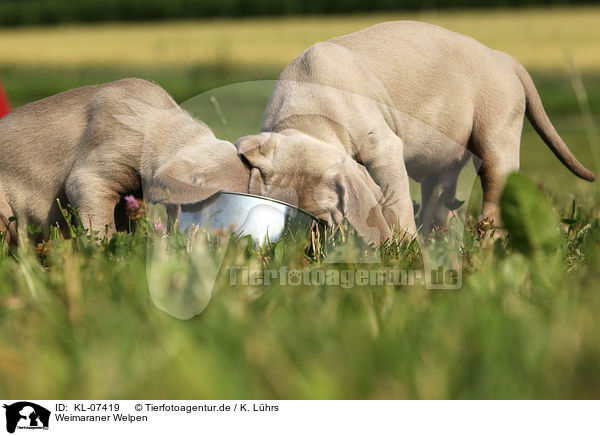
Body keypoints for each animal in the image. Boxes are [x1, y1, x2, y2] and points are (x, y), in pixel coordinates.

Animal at [238, 20, 596, 244]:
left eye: (322, 217)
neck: (310, 120)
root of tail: (503, 58)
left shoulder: (383, 146)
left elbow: (395, 202)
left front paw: (403, 251)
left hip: (498, 130)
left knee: (493, 191)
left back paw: (484, 243)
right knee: (441, 198)